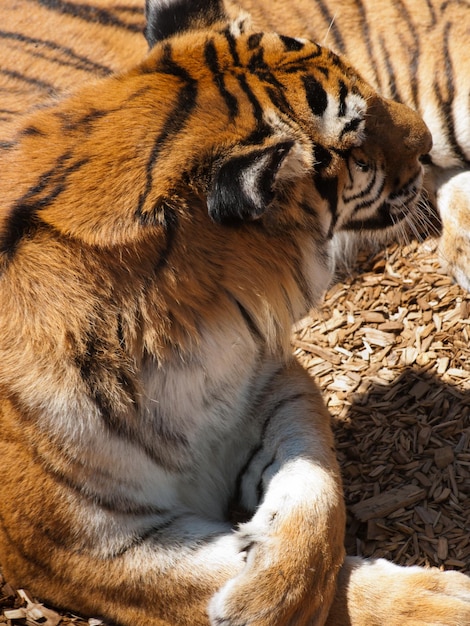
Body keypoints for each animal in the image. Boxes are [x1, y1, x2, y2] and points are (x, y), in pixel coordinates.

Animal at [0, 1, 470, 624]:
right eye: (353, 144)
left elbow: (319, 494)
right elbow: (187, 587)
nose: (422, 144)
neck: (181, 336)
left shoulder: (277, 381)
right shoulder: (73, 548)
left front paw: (275, 585)